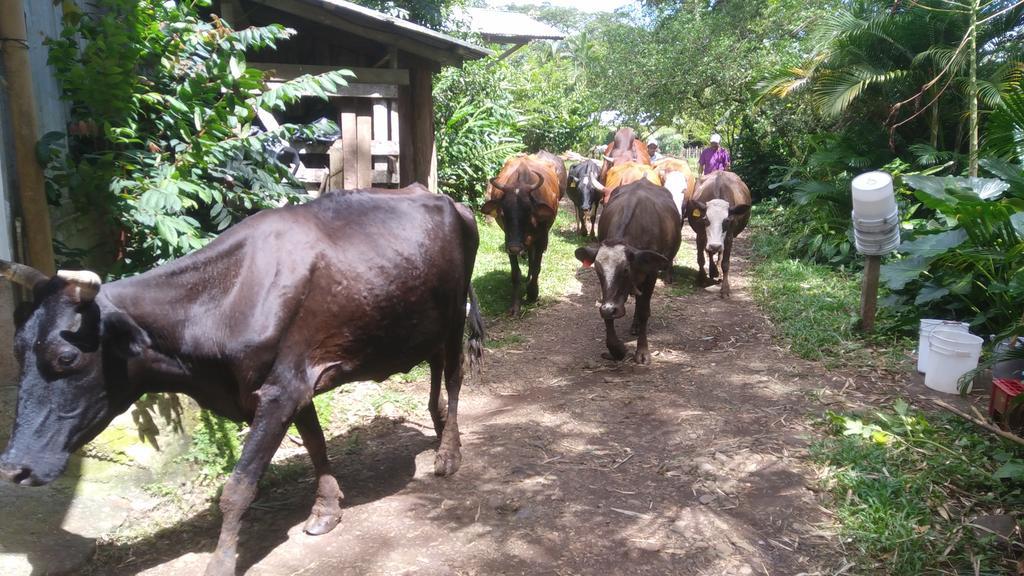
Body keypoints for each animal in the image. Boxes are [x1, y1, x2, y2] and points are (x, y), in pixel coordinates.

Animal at [0, 189, 483, 573]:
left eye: (66, 357)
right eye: (17, 350)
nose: (13, 467)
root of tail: (446, 199)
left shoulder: (279, 392)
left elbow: (238, 487)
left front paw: (220, 562)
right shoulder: (292, 385)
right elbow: (315, 444)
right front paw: (327, 509)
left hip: (453, 317)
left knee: (454, 374)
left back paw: (449, 453)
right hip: (423, 322)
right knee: (436, 370)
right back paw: (439, 425)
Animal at [481, 150, 565, 313]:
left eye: (528, 212)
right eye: (503, 214)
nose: (515, 247)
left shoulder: (542, 239)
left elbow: (537, 266)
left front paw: (532, 293)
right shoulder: (508, 240)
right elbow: (515, 273)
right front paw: (515, 304)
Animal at [577, 178, 679, 362]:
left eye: (625, 270)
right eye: (597, 270)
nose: (610, 308)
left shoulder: (651, 274)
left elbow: (644, 311)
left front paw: (642, 351)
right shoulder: (609, 296)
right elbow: (607, 314)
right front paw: (617, 350)